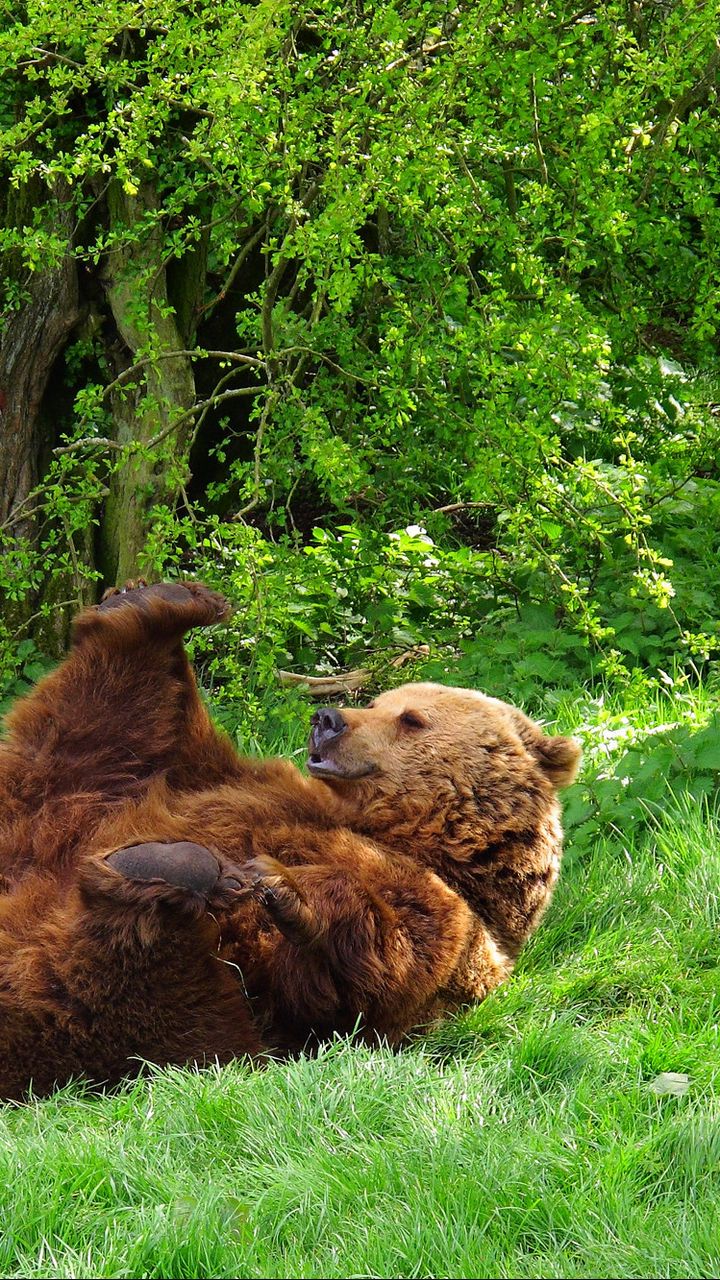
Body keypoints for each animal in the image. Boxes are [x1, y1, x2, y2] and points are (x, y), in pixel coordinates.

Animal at [0, 583, 576, 1100]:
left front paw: (283, 885)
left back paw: (165, 868)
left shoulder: (446, 924)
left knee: (109, 971)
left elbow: (372, 967)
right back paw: (151, 608)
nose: (327, 719)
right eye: (378, 701)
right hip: (55, 813)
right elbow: (175, 751)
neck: (400, 829)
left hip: (156, 1009)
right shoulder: (231, 781)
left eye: (412, 719)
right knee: (90, 733)